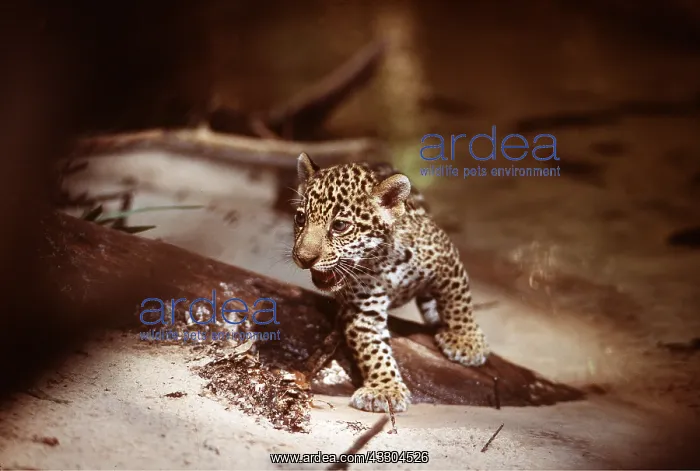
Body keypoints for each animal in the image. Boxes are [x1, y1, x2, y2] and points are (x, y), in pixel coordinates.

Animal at [292, 152, 489, 413]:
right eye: (300, 218)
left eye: (340, 226)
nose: (303, 258)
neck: (383, 262)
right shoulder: (362, 310)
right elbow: (372, 349)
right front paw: (385, 389)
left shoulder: (446, 257)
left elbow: (458, 302)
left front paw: (465, 341)